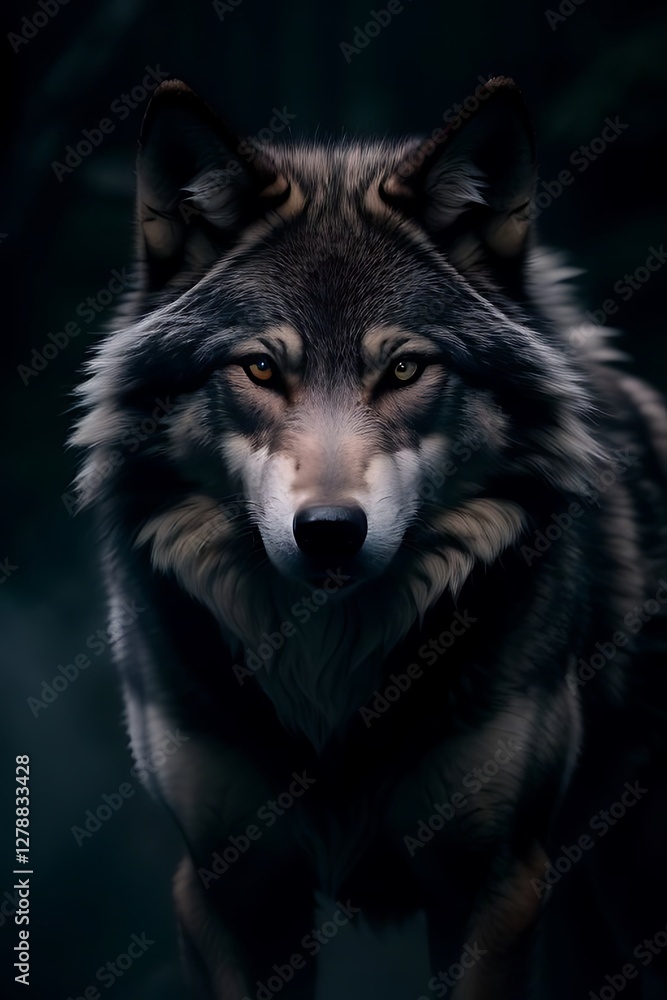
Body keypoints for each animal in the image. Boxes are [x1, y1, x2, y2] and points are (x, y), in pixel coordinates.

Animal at [73, 76, 667, 998]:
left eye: (403, 368)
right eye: (260, 368)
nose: (327, 534)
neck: (331, 675)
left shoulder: (491, 882)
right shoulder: (231, 888)